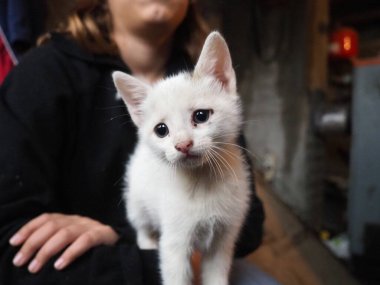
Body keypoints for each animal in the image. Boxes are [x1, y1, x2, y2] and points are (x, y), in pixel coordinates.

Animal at [111, 31, 251, 284]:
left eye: (201, 116)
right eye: (161, 130)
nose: (183, 145)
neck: (204, 182)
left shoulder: (223, 240)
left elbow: (216, 276)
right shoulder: (174, 245)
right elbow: (176, 275)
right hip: (136, 201)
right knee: (142, 225)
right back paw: (147, 243)